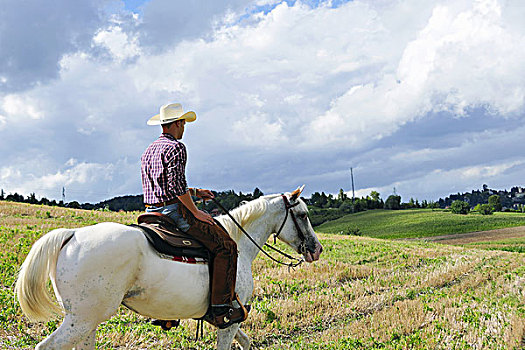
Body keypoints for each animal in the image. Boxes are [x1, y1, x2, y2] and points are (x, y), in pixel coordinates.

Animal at [15, 189, 320, 350]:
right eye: (303, 215)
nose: (316, 249)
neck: (239, 242)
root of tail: (72, 234)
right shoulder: (230, 318)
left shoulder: (228, 320)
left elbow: (246, 342)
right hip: (81, 320)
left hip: (87, 322)